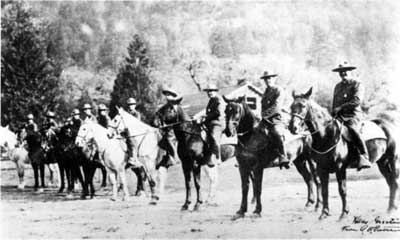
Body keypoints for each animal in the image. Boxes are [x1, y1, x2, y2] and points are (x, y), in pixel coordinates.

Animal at [290, 87, 398, 220]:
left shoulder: (340, 168)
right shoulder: (321, 168)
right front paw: (324, 213)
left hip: (393, 159)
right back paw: (390, 208)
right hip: (382, 162)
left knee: (394, 181)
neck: (327, 135)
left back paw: (392, 209)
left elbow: (342, 190)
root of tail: (388, 124)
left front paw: (344, 214)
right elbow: (325, 190)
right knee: (390, 182)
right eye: (291, 106)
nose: (293, 127)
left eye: (303, 106)